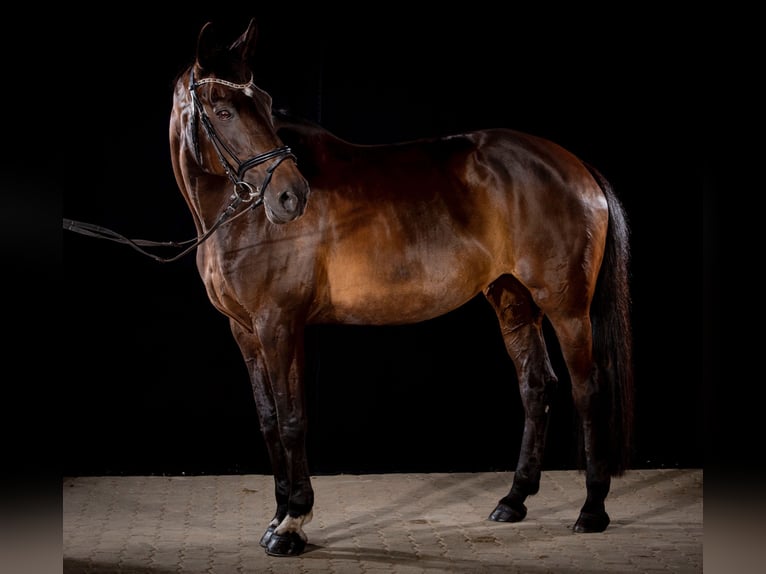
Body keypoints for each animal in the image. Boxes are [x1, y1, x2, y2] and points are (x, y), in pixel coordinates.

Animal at [172, 16, 636, 560]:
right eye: (223, 110)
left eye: (266, 104)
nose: (291, 196)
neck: (244, 219)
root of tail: (578, 168)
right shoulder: (245, 331)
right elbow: (268, 421)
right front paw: (277, 518)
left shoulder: (280, 324)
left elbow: (291, 419)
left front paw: (292, 523)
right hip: (513, 301)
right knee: (536, 384)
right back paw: (513, 500)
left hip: (567, 308)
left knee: (588, 389)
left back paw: (592, 509)